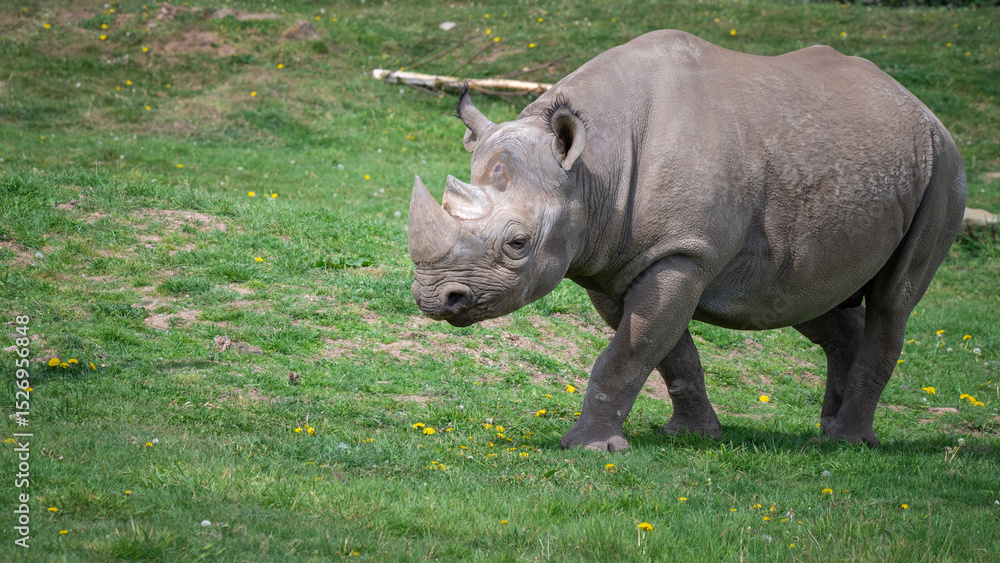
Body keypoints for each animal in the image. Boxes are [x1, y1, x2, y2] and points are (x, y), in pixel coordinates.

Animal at [407, 30, 966, 451]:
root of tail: (921, 108)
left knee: (894, 300)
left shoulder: (681, 252)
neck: (592, 168)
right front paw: (695, 435)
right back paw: (828, 433)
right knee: (808, 295)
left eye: (518, 243)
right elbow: (666, 349)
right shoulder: (615, 261)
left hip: (943, 167)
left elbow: (629, 351)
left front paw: (589, 449)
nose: (436, 298)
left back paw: (848, 443)